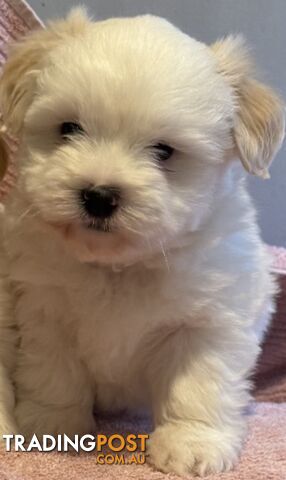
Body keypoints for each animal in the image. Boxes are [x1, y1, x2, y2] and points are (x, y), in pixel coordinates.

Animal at [0, 7, 284, 476]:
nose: (98, 195)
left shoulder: (209, 322)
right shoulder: (45, 310)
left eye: (164, 152)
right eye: (69, 128)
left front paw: (192, 443)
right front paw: (55, 426)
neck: (119, 265)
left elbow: (198, 386)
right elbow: (55, 373)